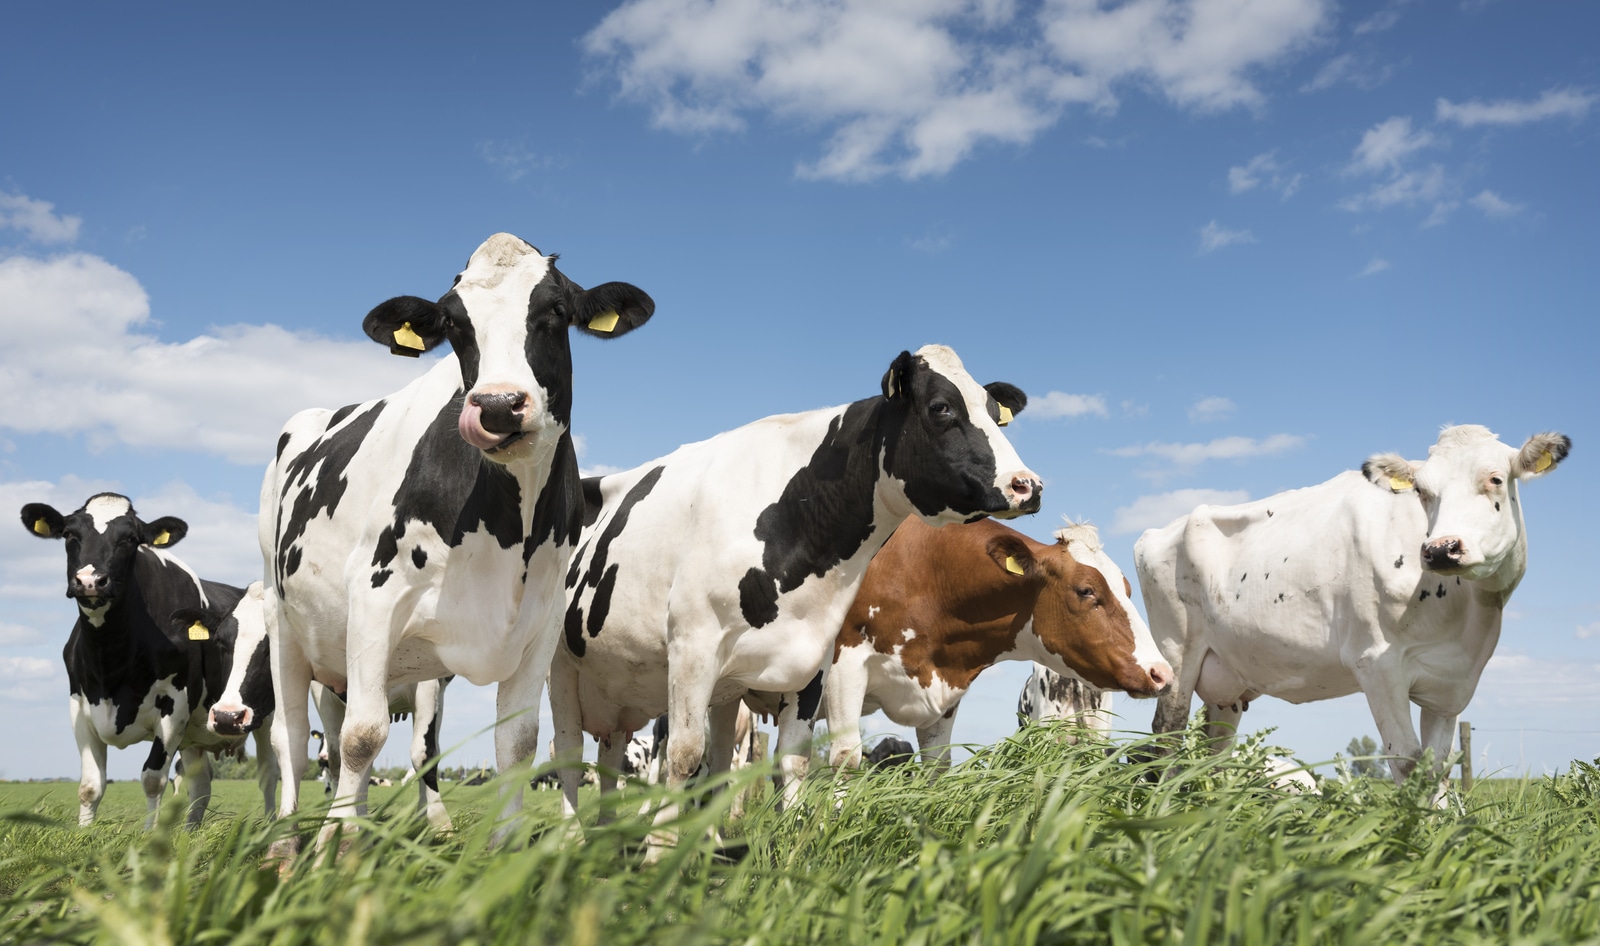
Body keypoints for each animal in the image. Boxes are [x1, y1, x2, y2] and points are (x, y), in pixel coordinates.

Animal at [20, 496, 276, 832]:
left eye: (130, 539)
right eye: (69, 535)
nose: (90, 581)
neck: (110, 657)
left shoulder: (174, 708)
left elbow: (153, 779)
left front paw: (148, 835)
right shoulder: (79, 707)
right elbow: (90, 785)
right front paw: (84, 833)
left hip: (265, 716)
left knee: (269, 772)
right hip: (195, 735)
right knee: (200, 784)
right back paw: (190, 832)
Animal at [256, 233, 649, 845]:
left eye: (555, 312)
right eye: (454, 324)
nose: (497, 405)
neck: (509, 529)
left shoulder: (539, 623)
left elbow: (517, 743)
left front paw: (506, 845)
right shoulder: (374, 596)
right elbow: (361, 736)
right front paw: (331, 848)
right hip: (283, 620)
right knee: (294, 740)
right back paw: (289, 840)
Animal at [556, 344, 1043, 845]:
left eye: (996, 414)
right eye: (941, 407)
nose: (1028, 485)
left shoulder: (814, 659)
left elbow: (792, 761)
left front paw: (788, 845)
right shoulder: (693, 646)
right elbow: (685, 755)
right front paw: (660, 853)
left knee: (625, 757)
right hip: (561, 665)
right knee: (568, 753)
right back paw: (572, 837)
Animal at [819, 521, 1171, 774]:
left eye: (1128, 590)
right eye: (1086, 590)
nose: (1162, 673)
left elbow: (937, 766)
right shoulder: (844, 664)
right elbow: (845, 758)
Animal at [1139, 422, 1574, 800]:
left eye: (1496, 479)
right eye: (1422, 490)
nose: (1440, 549)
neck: (1467, 615)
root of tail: (1160, 531)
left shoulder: (1450, 684)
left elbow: (1437, 770)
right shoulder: (1378, 664)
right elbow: (1408, 764)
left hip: (1226, 678)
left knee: (1216, 749)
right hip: (1176, 654)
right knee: (1168, 733)